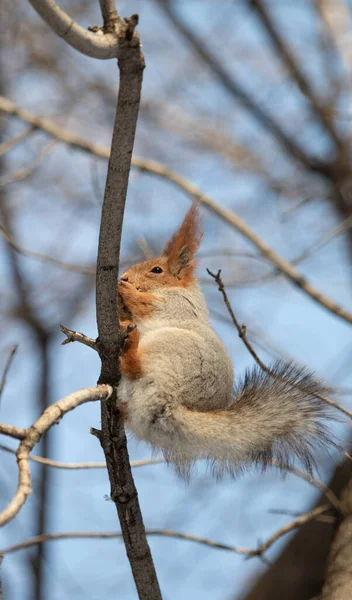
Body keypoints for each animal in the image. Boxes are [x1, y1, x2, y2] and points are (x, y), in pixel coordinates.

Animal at [117, 204, 332, 476]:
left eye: (157, 270)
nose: (124, 276)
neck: (176, 289)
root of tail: (171, 405)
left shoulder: (177, 305)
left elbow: (147, 304)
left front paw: (123, 291)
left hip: (172, 350)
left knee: (137, 369)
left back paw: (130, 348)